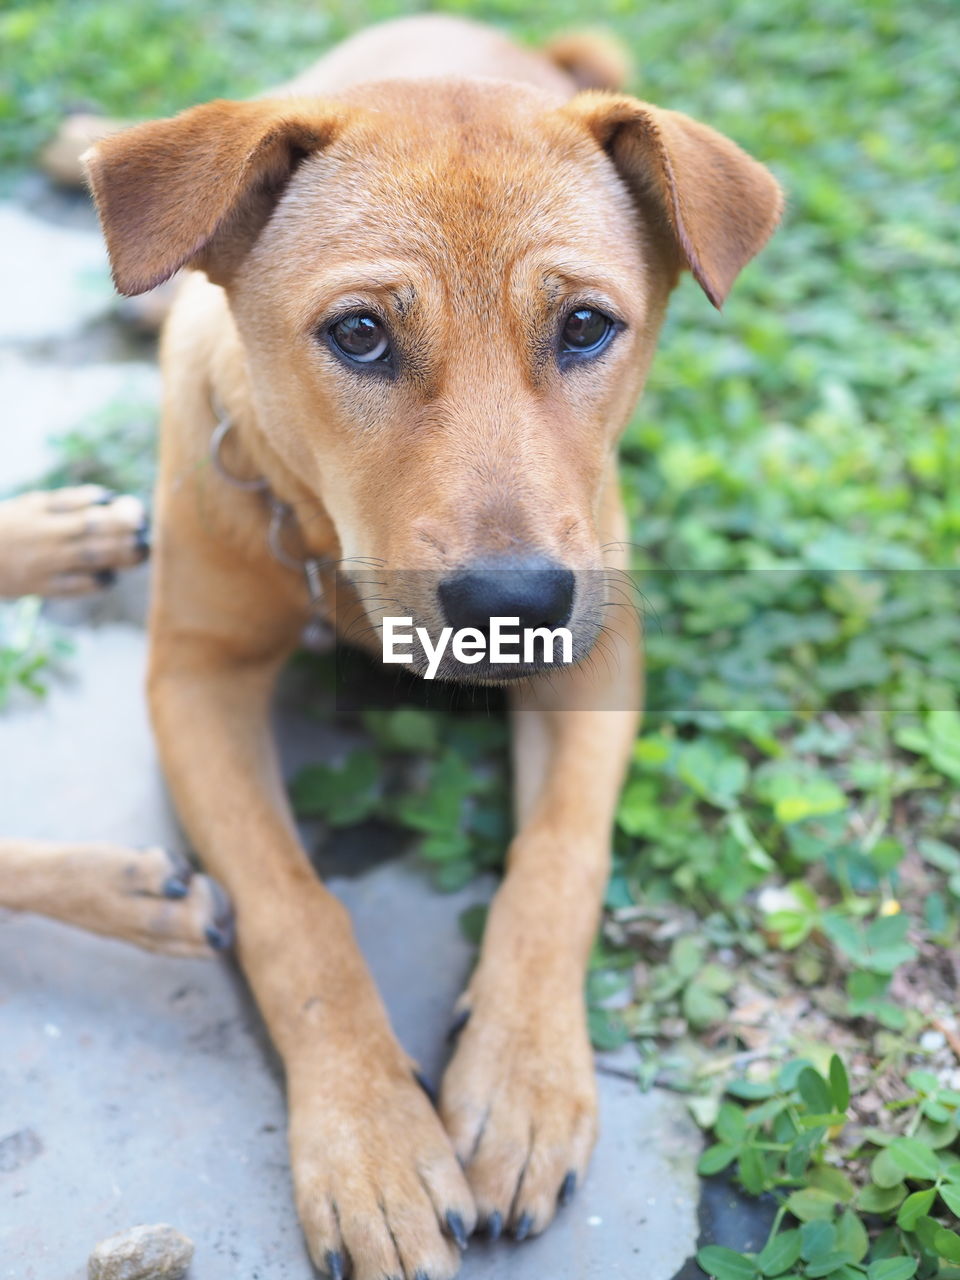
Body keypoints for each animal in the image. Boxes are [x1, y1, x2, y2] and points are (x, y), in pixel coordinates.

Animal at [77, 12, 783, 1280]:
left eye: (585, 326)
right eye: (360, 333)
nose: (516, 600)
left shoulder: (599, 646)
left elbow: (560, 857)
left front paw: (526, 1078)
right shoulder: (194, 675)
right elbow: (295, 909)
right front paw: (370, 1142)